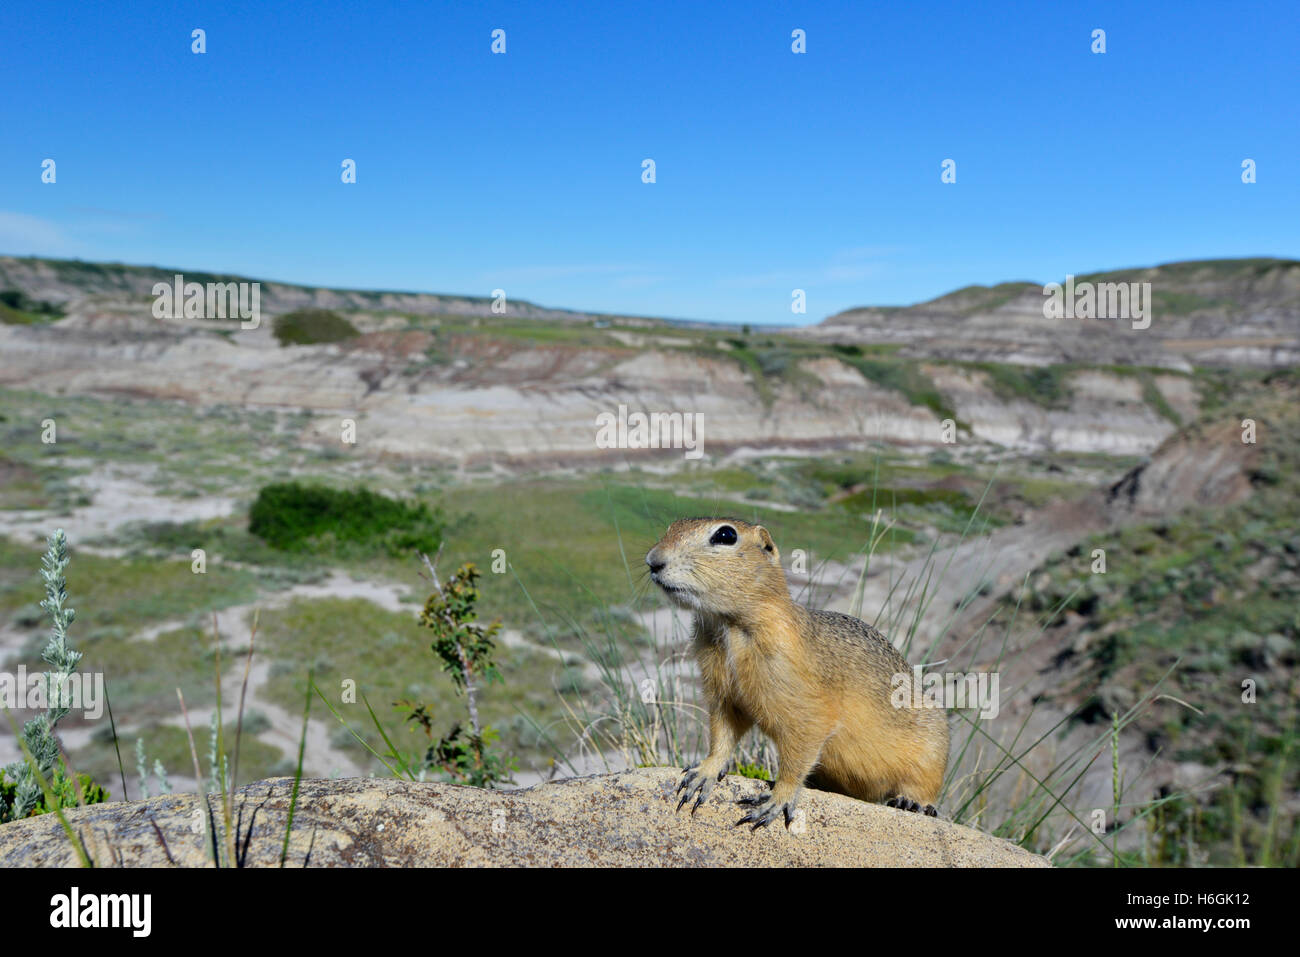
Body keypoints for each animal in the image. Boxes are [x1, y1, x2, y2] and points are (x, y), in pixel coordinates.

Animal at [645, 517, 949, 830]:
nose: (653, 561)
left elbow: (798, 753)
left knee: (925, 787)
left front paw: (775, 800)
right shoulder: (723, 693)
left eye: (726, 535)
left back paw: (912, 802)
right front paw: (702, 773)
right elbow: (722, 734)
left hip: (931, 749)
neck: (730, 627)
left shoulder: (807, 705)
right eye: (671, 527)